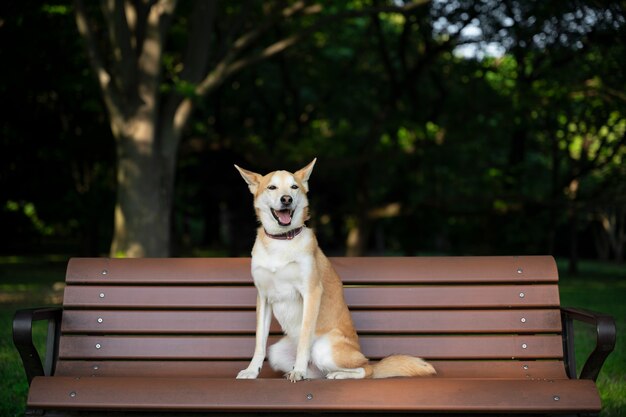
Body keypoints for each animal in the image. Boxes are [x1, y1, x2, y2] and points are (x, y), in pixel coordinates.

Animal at [234, 158, 434, 380]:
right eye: (272, 187)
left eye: (294, 187)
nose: (286, 199)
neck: (282, 241)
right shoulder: (263, 298)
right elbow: (259, 342)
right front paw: (252, 370)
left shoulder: (311, 293)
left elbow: (304, 338)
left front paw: (298, 370)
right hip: (278, 352)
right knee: (321, 373)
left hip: (324, 348)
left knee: (366, 369)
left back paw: (333, 374)